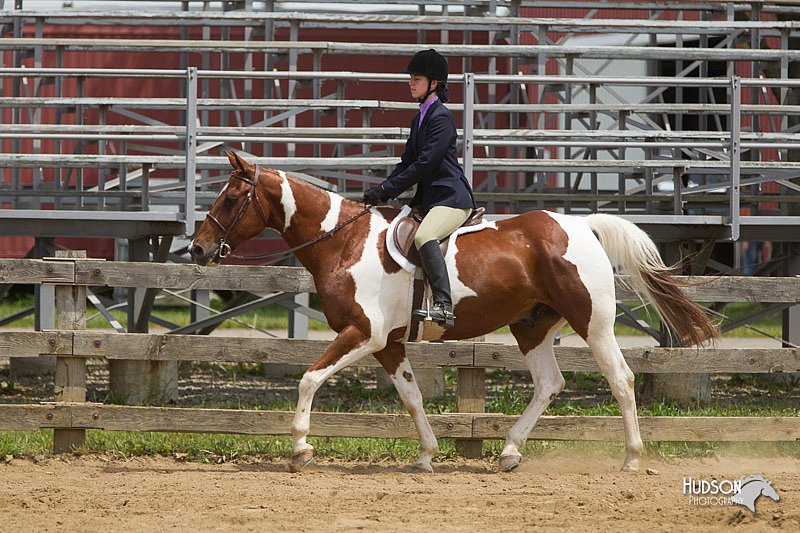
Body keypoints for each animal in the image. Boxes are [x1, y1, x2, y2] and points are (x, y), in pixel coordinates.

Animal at [189, 152, 720, 472]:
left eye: (232, 198)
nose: (198, 249)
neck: (343, 243)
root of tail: (581, 226)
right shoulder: (388, 344)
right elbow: (411, 398)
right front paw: (426, 455)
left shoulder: (363, 333)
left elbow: (308, 379)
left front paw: (300, 448)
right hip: (531, 326)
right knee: (550, 383)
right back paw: (509, 451)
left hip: (594, 323)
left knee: (621, 381)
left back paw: (631, 458)